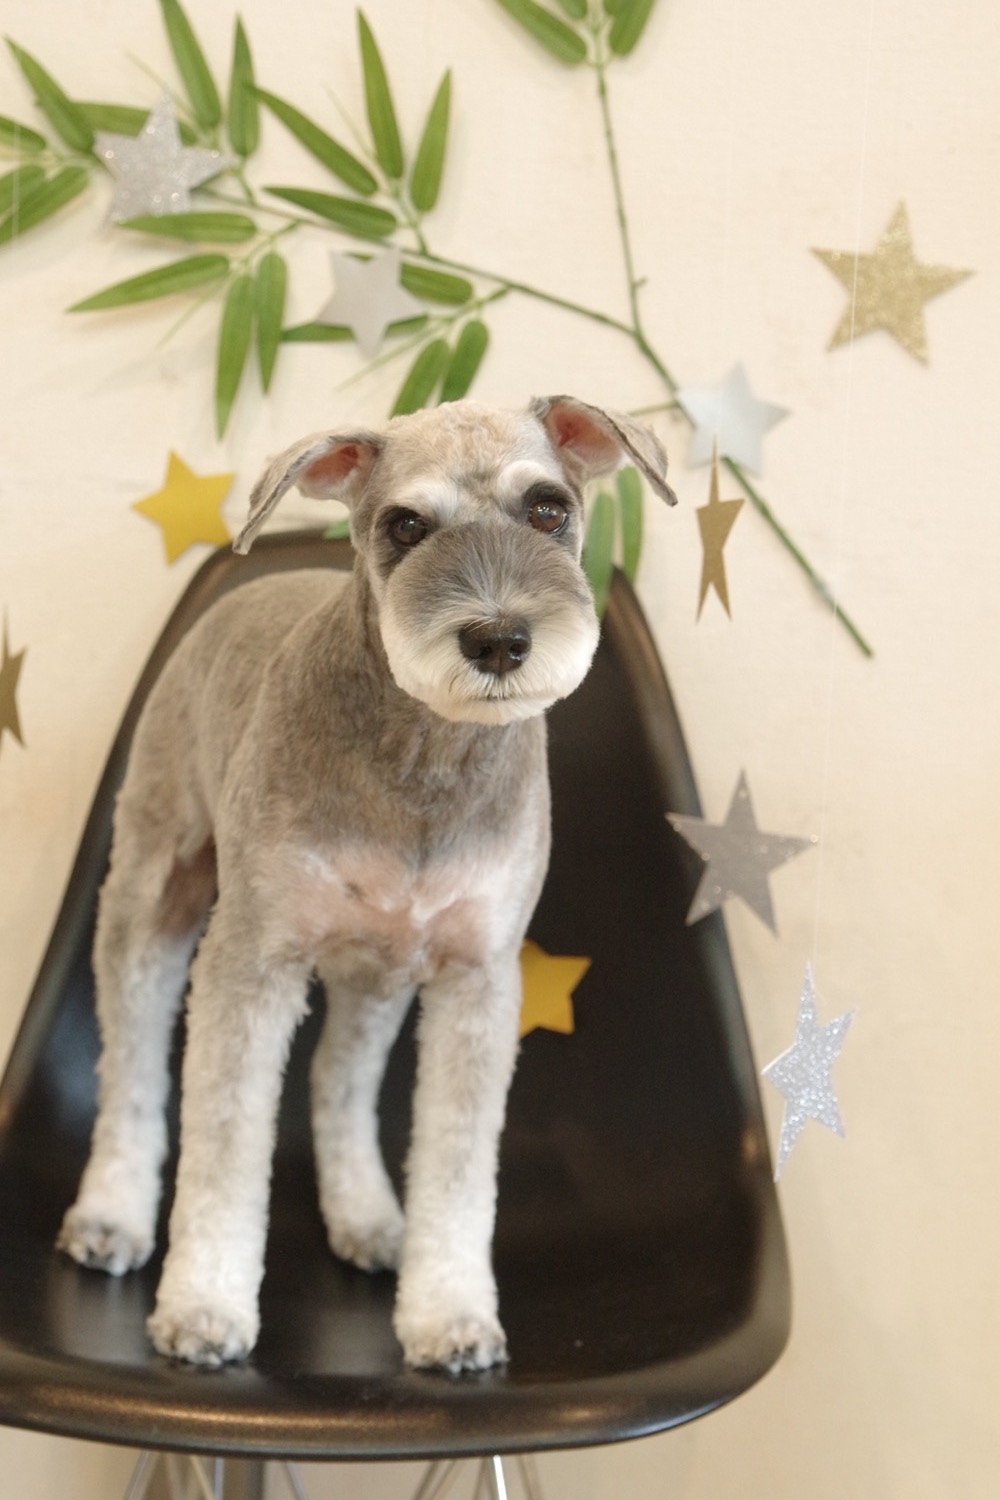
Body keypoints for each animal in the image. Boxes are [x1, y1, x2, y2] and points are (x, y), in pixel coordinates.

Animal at [58, 396, 676, 1372]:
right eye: (406, 526)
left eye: (547, 509)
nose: (498, 639)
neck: (424, 754)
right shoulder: (251, 965)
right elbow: (224, 1145)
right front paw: (205, 1308)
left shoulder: (479, 982)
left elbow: (457, 1162)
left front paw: (449, 1315)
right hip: (150, 898)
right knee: (131, 1065)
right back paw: (112, 1213)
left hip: (376, 975)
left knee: (339, 1081)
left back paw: (368, 1217)